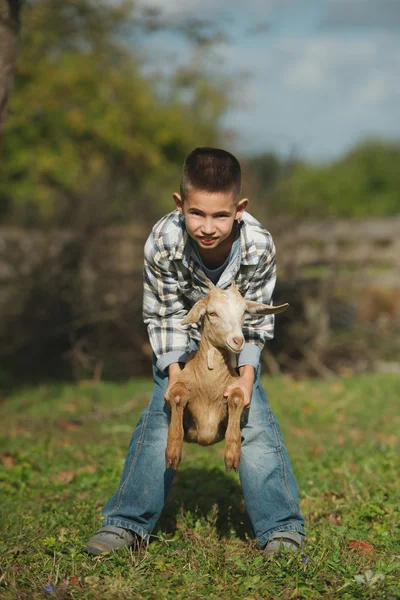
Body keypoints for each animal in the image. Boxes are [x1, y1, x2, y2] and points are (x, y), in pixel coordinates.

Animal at [164, 282, 290, 474]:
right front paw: (173, 452)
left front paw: (232, 454)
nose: (238, 340)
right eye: (212, 313)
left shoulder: (235, 387)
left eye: (244, 312)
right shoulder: (181, 385)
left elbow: (237, 397)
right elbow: (178, 395)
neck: (209, 387)